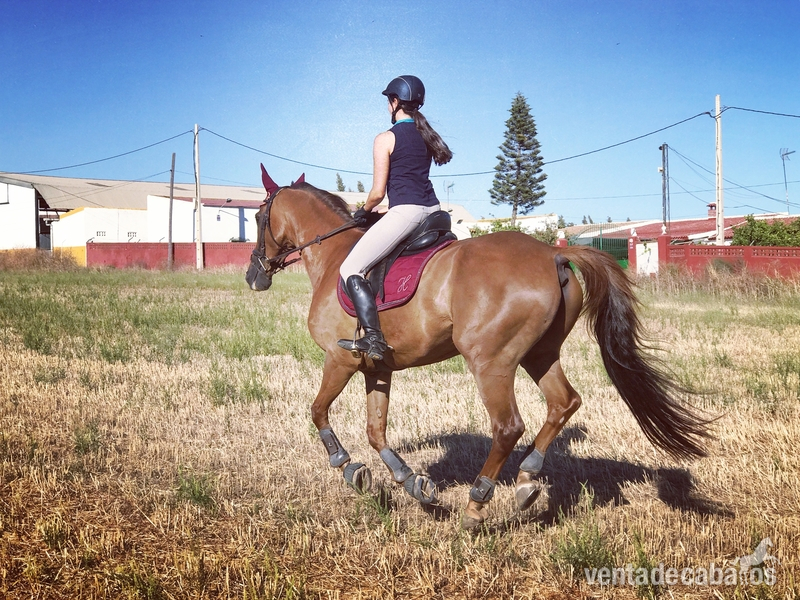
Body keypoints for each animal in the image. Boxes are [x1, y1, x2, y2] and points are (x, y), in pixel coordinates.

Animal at [245, 172, 712, 529]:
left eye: (257, 216)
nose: (254, 276)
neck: (334, 256)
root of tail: (552, 254)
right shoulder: (377, 367)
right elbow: (376, 430)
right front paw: (412, 484)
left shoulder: (339, 359)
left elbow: (318, 411)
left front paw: (348, 467)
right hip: (539, 355)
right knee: (564, 402)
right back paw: (526, 480)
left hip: (490, 361)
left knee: (507, 426)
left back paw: (477, 503)